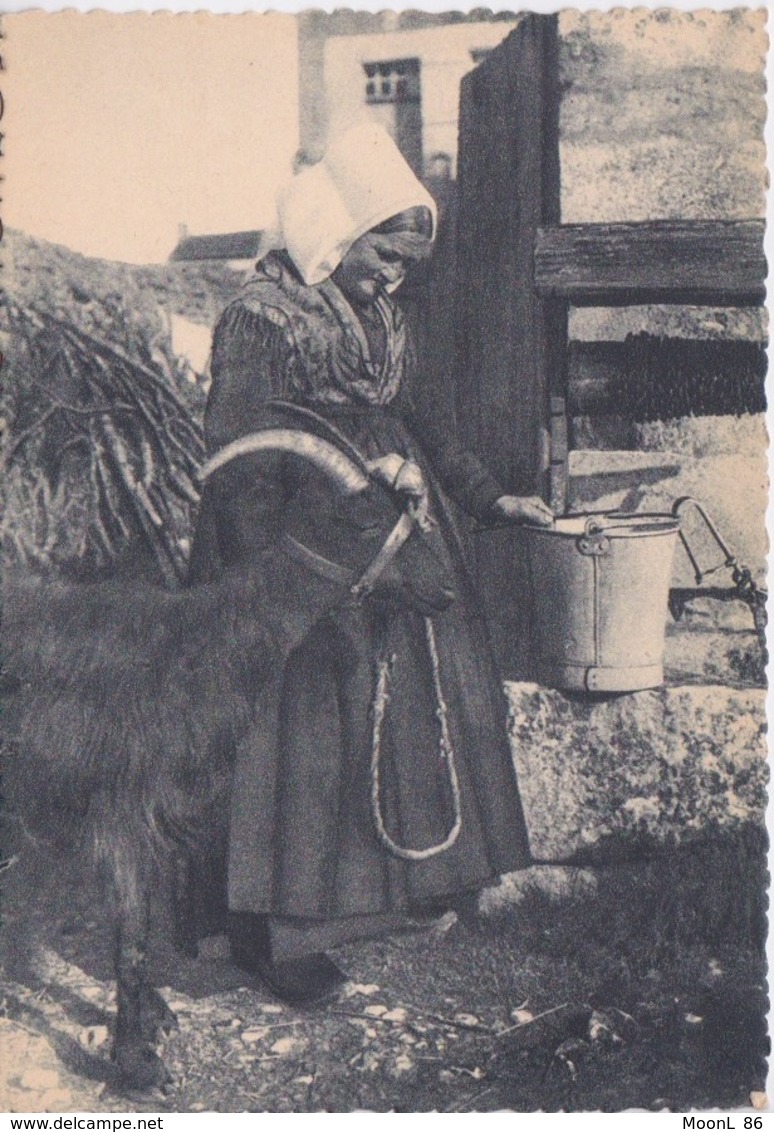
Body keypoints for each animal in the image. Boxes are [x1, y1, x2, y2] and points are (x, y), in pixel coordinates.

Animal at [3, 425, 457, 1086]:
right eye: (368, 519)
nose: (446, 590)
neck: (195, 643)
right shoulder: (120, 813)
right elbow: (131, 936)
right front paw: (136, 1064)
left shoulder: (158, 816)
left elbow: (142, 923)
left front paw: (153, 1018)